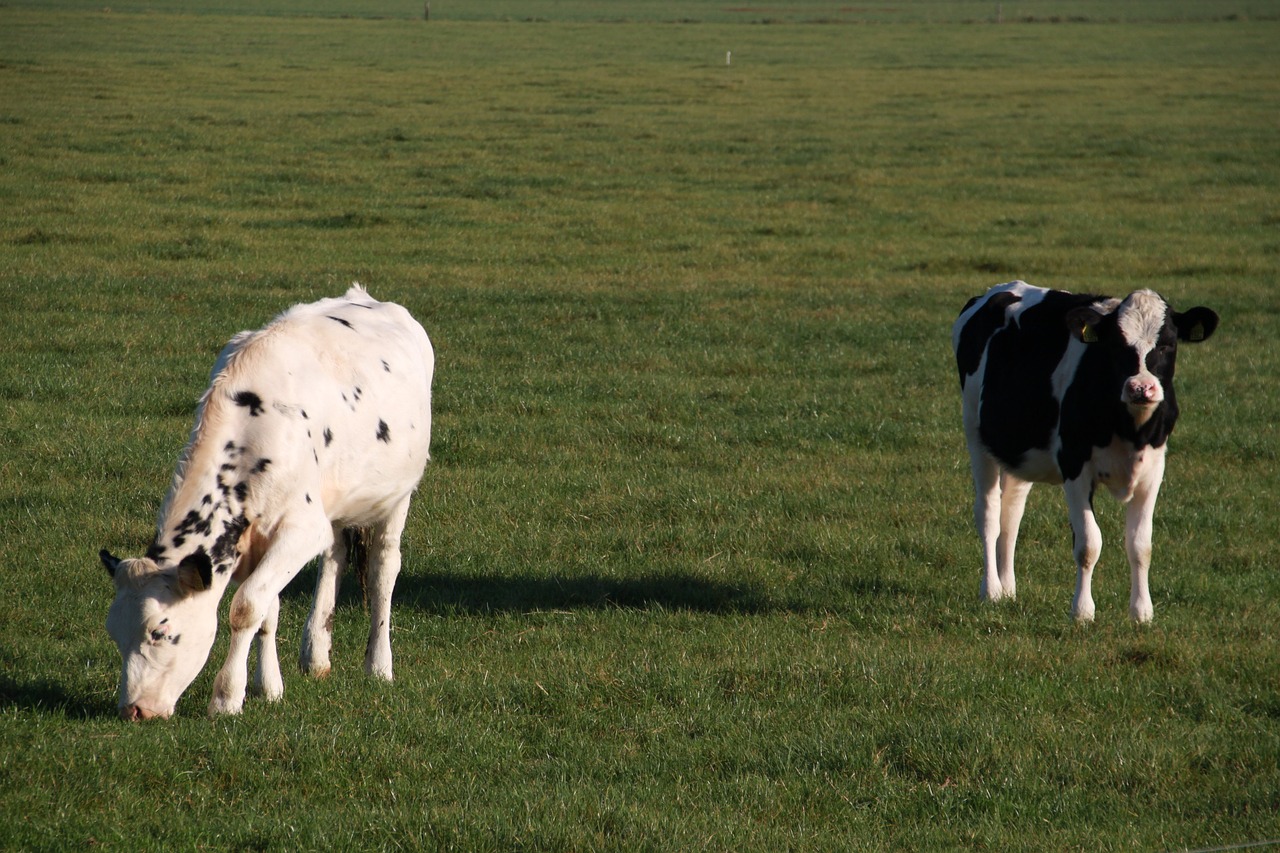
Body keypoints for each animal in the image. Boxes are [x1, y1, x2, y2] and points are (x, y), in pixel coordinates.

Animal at [96, 285, 435, 717]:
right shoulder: (255, 538)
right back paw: (316, 653)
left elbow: (246, 607)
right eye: (113, 632)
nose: (134, 710)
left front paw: (227, 697)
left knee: (383, 570)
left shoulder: (300, 529)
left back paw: (379, 665)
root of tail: (367, 296)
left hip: (398, 496)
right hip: (336, 501)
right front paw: (268, 687)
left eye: (160, 631)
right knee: (335, 557)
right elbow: (267, 609)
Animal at [952, 281, 1218, 622]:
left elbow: (1141, 545)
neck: (1131, 429)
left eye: (1168, 344)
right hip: (976, 434)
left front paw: (1141, 612)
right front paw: (1082, 611)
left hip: (1020, 450)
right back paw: (992, 590)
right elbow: (1089, 543)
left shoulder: (1154, 469)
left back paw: (1008, 589)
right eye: (1116, 345)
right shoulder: (1074, 464)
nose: (1140, 388)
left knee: (1011, 515)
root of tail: (999, 289)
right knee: (988, 514)